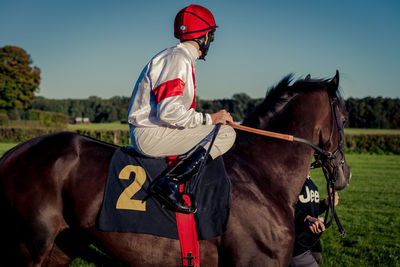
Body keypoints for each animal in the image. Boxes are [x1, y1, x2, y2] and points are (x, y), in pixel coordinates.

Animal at [0, 72, 350, 266]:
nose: (344, 175)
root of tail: (13, 153)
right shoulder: (255, 261)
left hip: (63, 243)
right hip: (29, 246)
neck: (260, 176)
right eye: (345, 119)